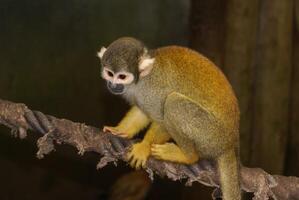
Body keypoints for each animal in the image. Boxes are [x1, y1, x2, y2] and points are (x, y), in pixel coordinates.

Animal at [99, 36, 244, 199]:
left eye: (122, 77)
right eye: (110, 73)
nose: (112, 85)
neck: (141, 80)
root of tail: (231, 143)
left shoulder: (153, 89)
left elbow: (161, 118)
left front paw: (144, 147)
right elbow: (141, 112)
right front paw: (120, 130)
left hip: (211, 135)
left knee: (173, 103)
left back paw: (187, 156)